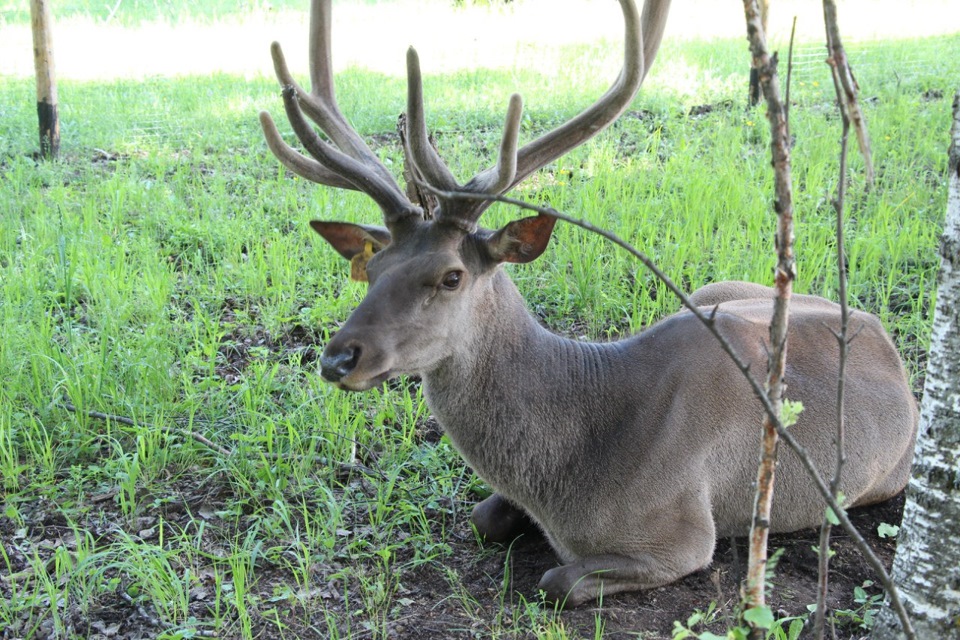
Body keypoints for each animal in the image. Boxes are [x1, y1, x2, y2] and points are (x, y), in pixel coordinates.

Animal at [258, 0, 920, 608]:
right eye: (371, 270)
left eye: (450, 276)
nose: (339, 358)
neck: (568, 474)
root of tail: (880, 331)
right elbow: (483, 517)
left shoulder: (684, 534)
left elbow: (558, 580)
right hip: (714, 291)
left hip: (883, 479)